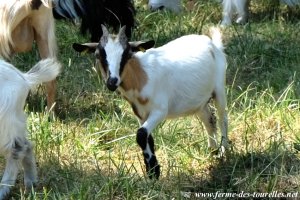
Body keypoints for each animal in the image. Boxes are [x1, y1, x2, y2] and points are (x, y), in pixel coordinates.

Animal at [0, 58, 61, 199]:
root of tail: (24, 78)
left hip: (5, 121)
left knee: (17, 150)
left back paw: (3, 191)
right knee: (27, 146)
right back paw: (31, 183)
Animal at [74, 24, 229, 178]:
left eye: (127, 54)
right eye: (98, 55)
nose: (112, 82)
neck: (140, 77)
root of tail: (211, 43)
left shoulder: (159, 110)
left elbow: (141, 134)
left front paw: (154, 171)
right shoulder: (140, 114)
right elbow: (147, 138)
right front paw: (152, 171)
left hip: (219, 88)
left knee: (222, 118)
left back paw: (224, 151)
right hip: (198, 102)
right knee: (209, 119)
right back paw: (213, 151)